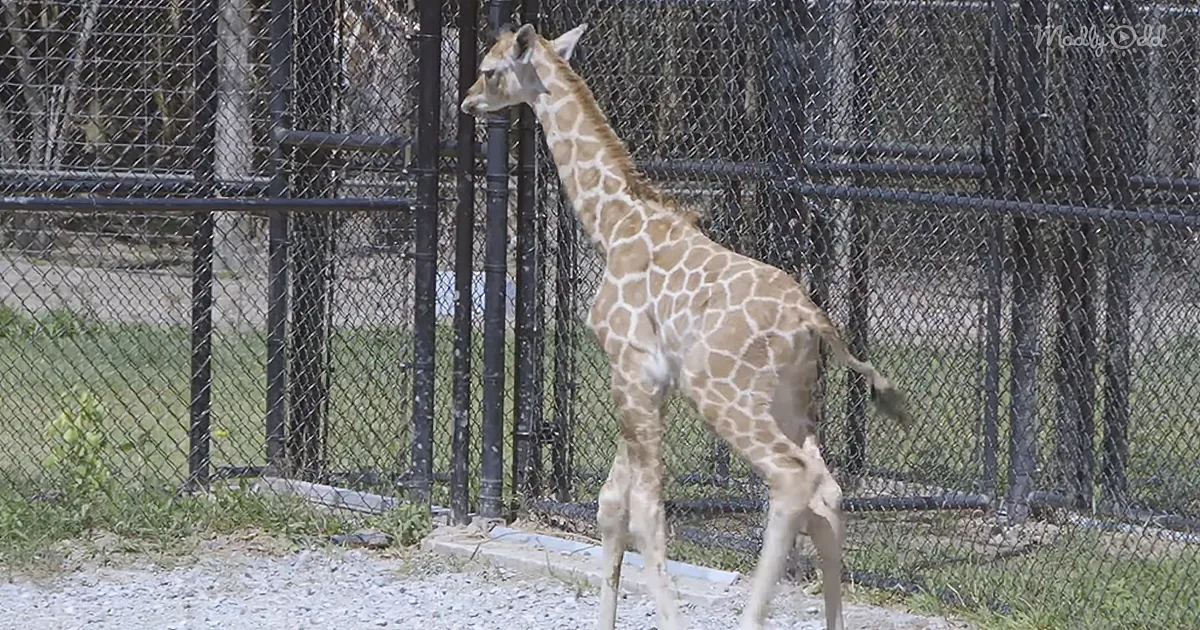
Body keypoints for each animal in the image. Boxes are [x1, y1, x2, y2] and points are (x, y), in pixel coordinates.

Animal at [460, 22, 913, 630]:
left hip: (721, 389)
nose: (468, 101)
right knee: (827, 491)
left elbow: (645, 509)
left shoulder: (633, 370)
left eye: (490, 70)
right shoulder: (650, 381)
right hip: (792, 400)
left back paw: (751, 618)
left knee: (791, 478)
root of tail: (813, 318)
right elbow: (610, 504)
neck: (612, 224)